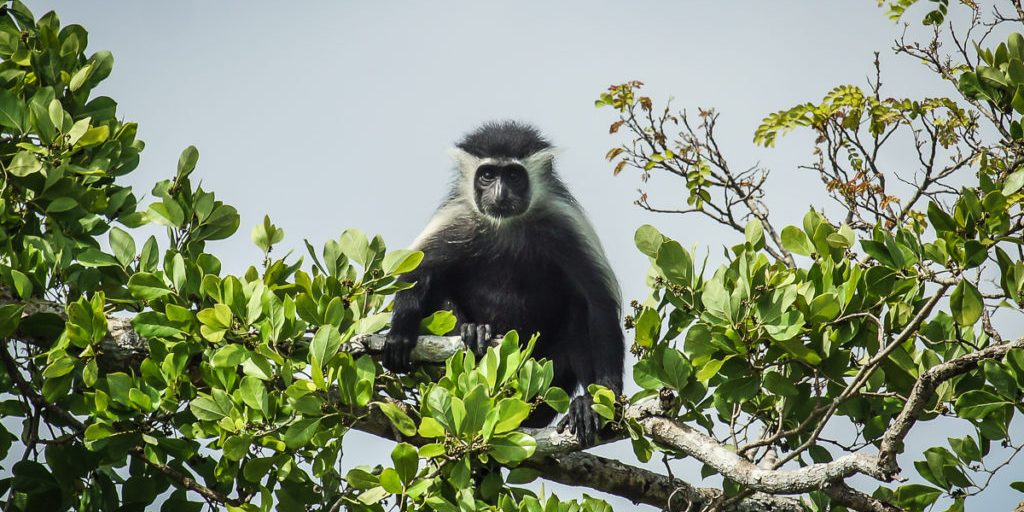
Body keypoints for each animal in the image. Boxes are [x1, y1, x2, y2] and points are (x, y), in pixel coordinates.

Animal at [385, 121, 622, 446]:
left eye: (513, 175)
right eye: (487, 175)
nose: (498, 194)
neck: (506, 226)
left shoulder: (565, 227)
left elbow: (598, 302)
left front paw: (605, 397)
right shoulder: (457, 222)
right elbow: (417, 273)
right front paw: (399, 334)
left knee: (579, 312)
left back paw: (582, 405)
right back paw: (474, 333)